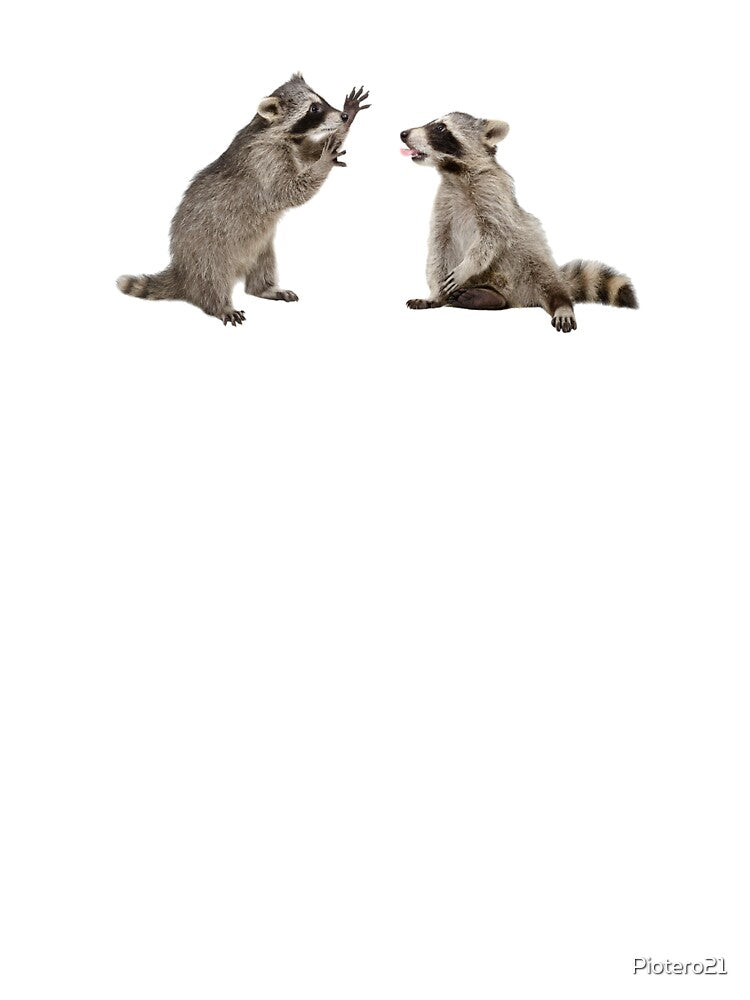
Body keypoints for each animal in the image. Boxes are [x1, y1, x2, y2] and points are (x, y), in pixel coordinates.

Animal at [117, 75, 370, 325]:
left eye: (322, 100)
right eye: (313, 109)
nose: (342, 116)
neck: (274, 131)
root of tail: (182, 270)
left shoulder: (294, 146)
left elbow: (310, 152)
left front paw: (345, 124)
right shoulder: (265, 161)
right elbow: (289, 191)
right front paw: (324, 162)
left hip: (261, 246)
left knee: (264, 266)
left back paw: (265, 288)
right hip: (207, 250)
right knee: (213, 279)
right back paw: (220, 305)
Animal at [400, 113, 637, 330]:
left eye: (440, 127)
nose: (403, 133)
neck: (454, 173)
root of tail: (518, 299)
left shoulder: (495, 196)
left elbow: (492, 237)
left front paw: (466, 267)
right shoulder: (444, 205)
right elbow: (438, 248)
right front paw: (435, 293)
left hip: (532, 264)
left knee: (548, 282)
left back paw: (562, 304)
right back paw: (481, 297)